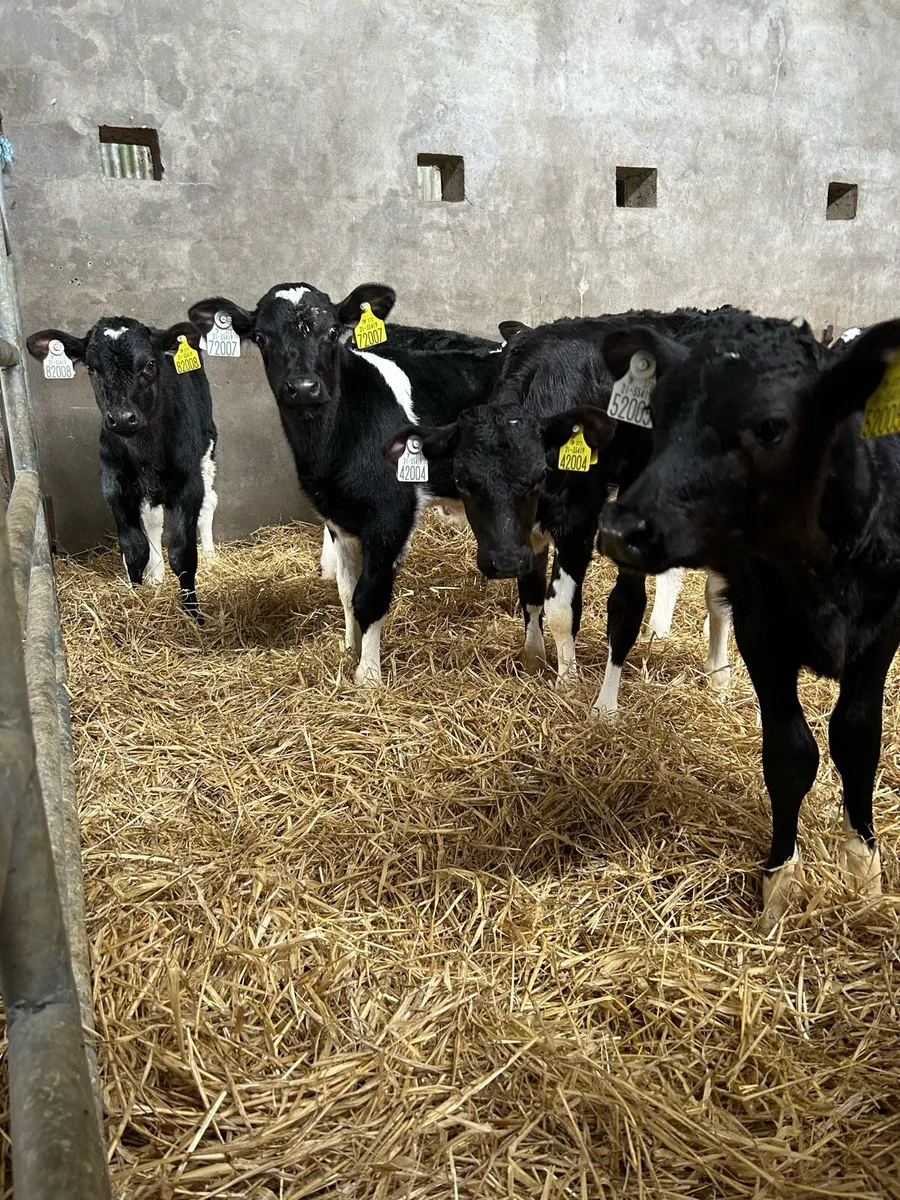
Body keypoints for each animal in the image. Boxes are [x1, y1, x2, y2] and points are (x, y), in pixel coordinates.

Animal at [27, 317, 217, 621]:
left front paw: (193, 614)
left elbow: (183, 553)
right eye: (91, 368)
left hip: (208, 448)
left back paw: (210, 556)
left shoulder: (189, 484)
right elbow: (134, 548)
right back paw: (156, 574)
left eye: (150, 364)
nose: (123, 418)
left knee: (209, 502)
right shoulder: (114, 485)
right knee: (152, 519)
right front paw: (137, 596)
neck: (146, 449)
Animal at [188, 283, 501, 684]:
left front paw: (367, 675)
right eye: (260, 337)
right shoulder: (339, 517)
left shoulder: (390, 515)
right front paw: (350, 648)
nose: (304, 388)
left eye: (333, 331)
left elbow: (370, 596)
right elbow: (347, 592)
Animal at [385, 311, 733, 717]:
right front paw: (533, 660)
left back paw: (710, 677)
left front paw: (570, 683)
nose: (505, 561)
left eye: (539, 476)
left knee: (697, 595)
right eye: (461, 480)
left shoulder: (577, 522)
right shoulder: (529, 533)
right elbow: (532, 594)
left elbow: (563, 608)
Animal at [596, 307, 900, 928]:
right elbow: (791, 755)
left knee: (712, 596)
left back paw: (717, 679)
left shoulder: (883, 630)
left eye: (770, 426)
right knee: (625, 610)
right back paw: (605, 705)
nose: (620, 527)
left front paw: (865, 873)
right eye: (660, 410)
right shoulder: (765, 634)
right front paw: (780, 883)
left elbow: (858, 740)